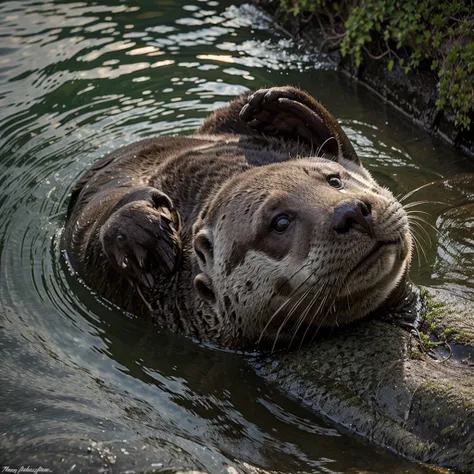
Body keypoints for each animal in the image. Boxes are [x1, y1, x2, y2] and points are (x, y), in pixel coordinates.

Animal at [64, 87, 412, 350]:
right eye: (280, 222)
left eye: (334, 180)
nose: (350, 211)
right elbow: (92, 223)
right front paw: (141, 232)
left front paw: (285, 106)